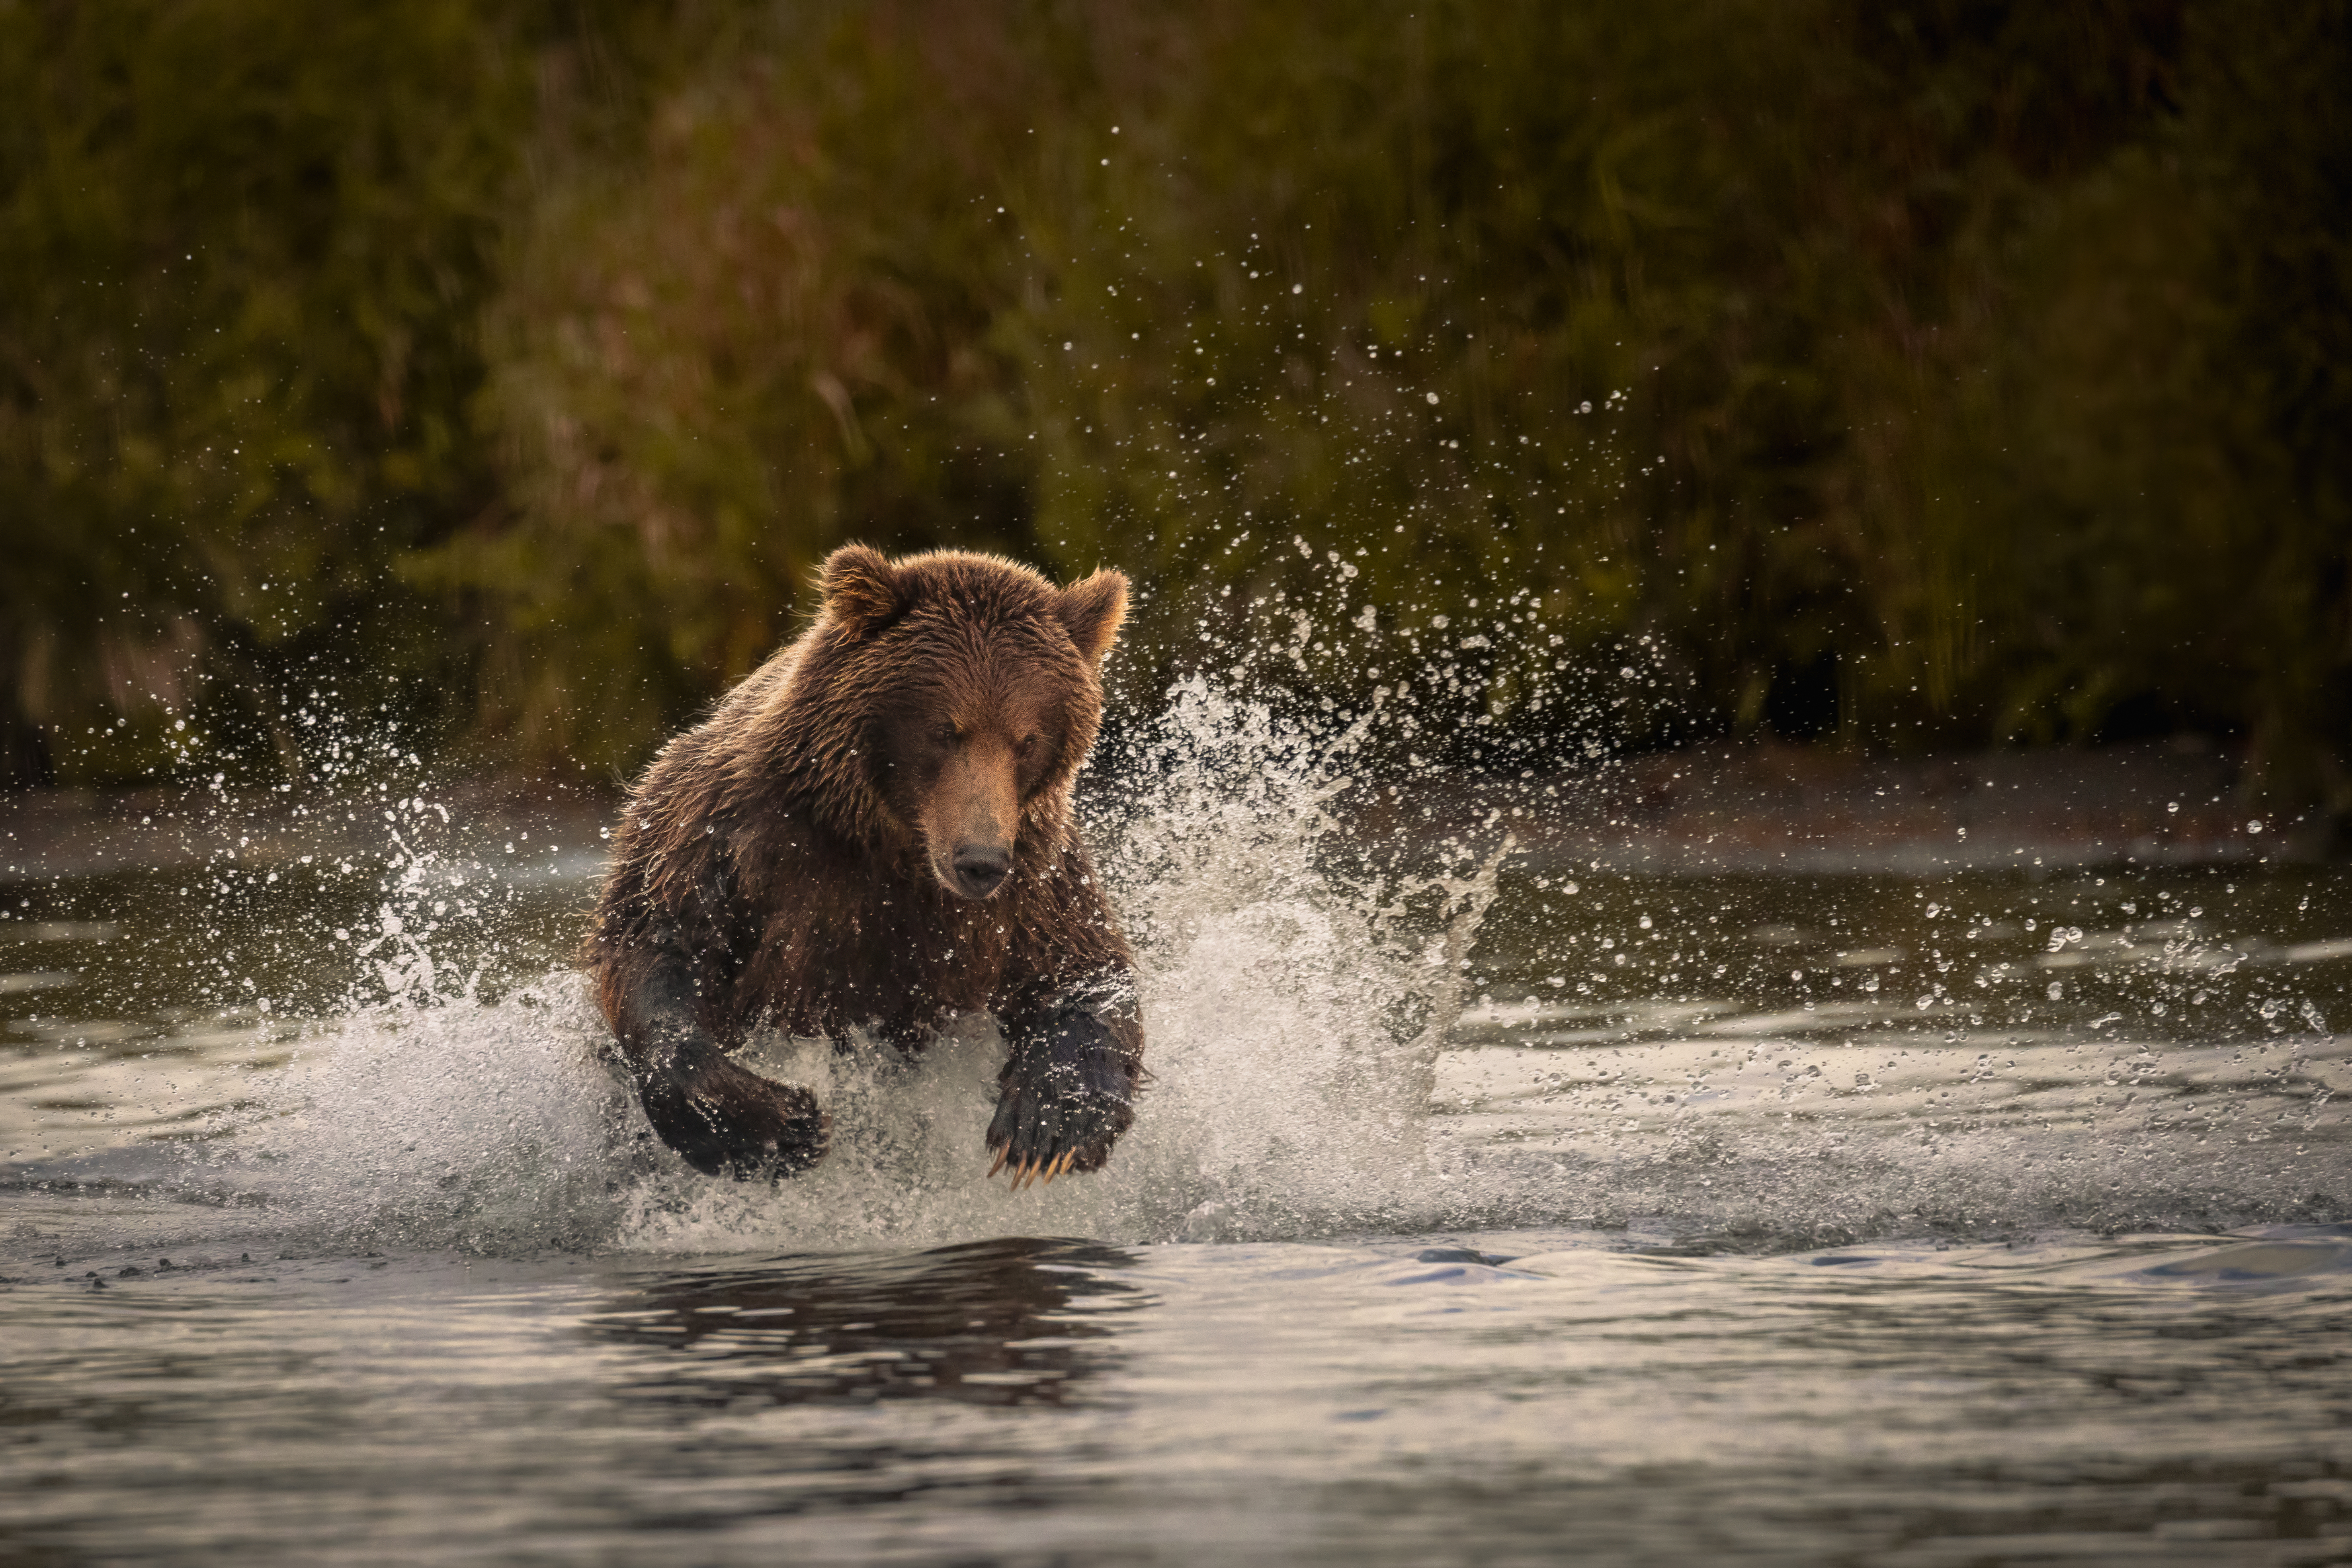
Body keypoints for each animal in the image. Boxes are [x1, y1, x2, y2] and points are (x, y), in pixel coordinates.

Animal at [585, 545, 1138, 1184]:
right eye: (944, 729)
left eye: (1027, 740)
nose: (979, 862)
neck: (886, 839)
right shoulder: (729, 835)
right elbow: (657, 940)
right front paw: (776, 1124)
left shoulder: (1034, 880)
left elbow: (1080, 973)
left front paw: (1049, 1128)